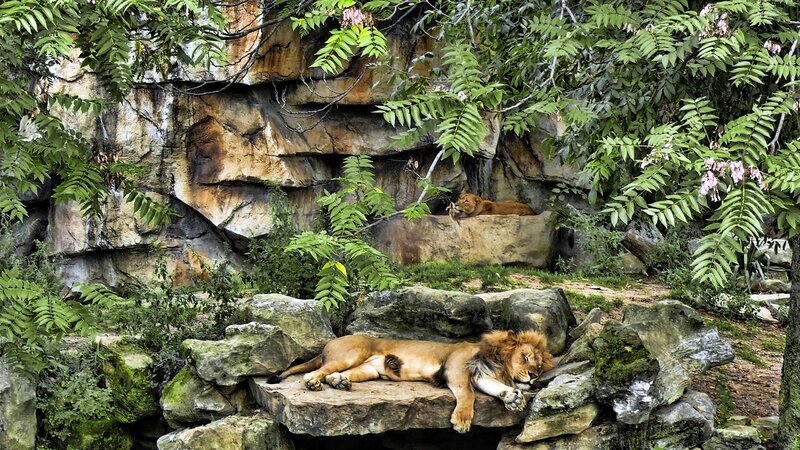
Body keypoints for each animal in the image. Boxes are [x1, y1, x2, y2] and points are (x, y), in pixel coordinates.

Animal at [267, 330, 553, 433]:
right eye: (525, 357)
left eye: (539, 367)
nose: (533, 377)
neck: (497, 362)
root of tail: (330, 341)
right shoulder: (456, 367)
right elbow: (467, 394)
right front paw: (461, 421)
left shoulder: (481, 375)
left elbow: (495, 388)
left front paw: (512, 397)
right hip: (351, 353)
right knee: (319, 370)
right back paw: (313, 382)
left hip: (369, 369)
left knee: (335, 374)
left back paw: (340, 382)